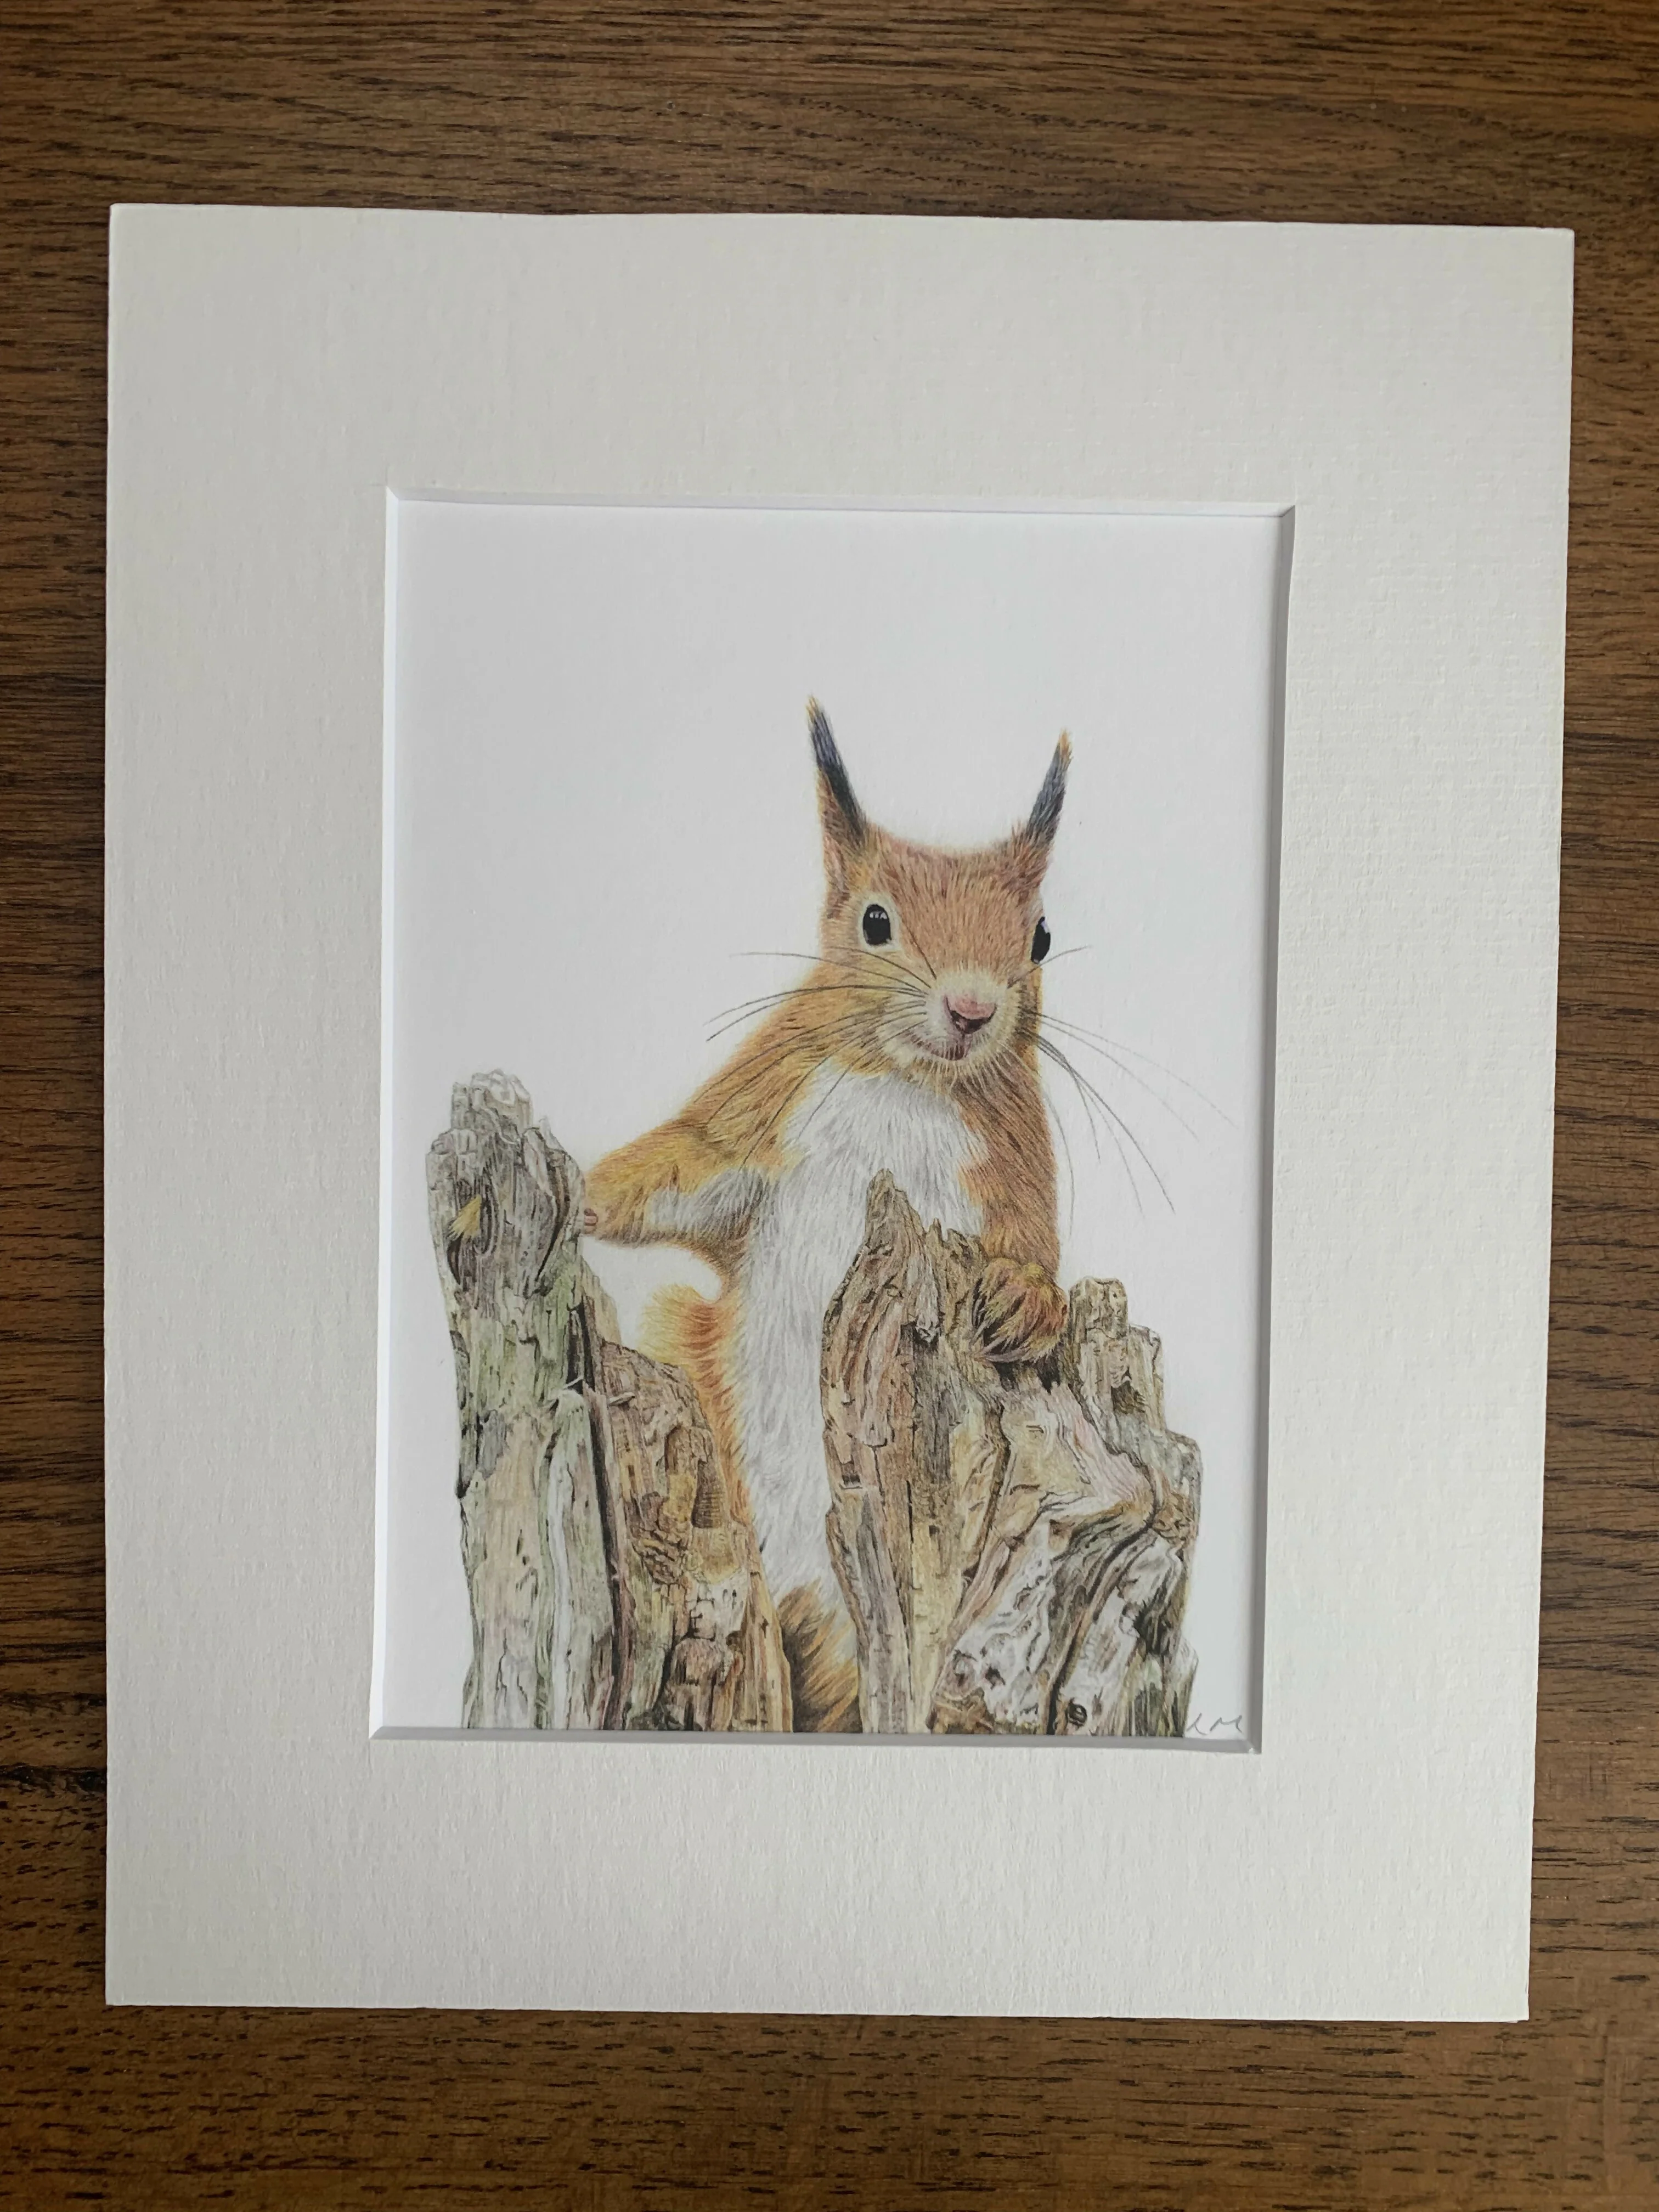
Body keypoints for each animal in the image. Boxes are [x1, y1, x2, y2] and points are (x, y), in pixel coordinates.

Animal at [584, 701, 1071, 1731]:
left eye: (1041, 937)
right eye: (874, 920)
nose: (972, 1008)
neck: (907, 1083)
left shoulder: (1012, 1177)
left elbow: (1036, 1251)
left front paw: (1024, 1299)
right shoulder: (757, 1118)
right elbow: (681, 1169)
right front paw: (581, 1188)